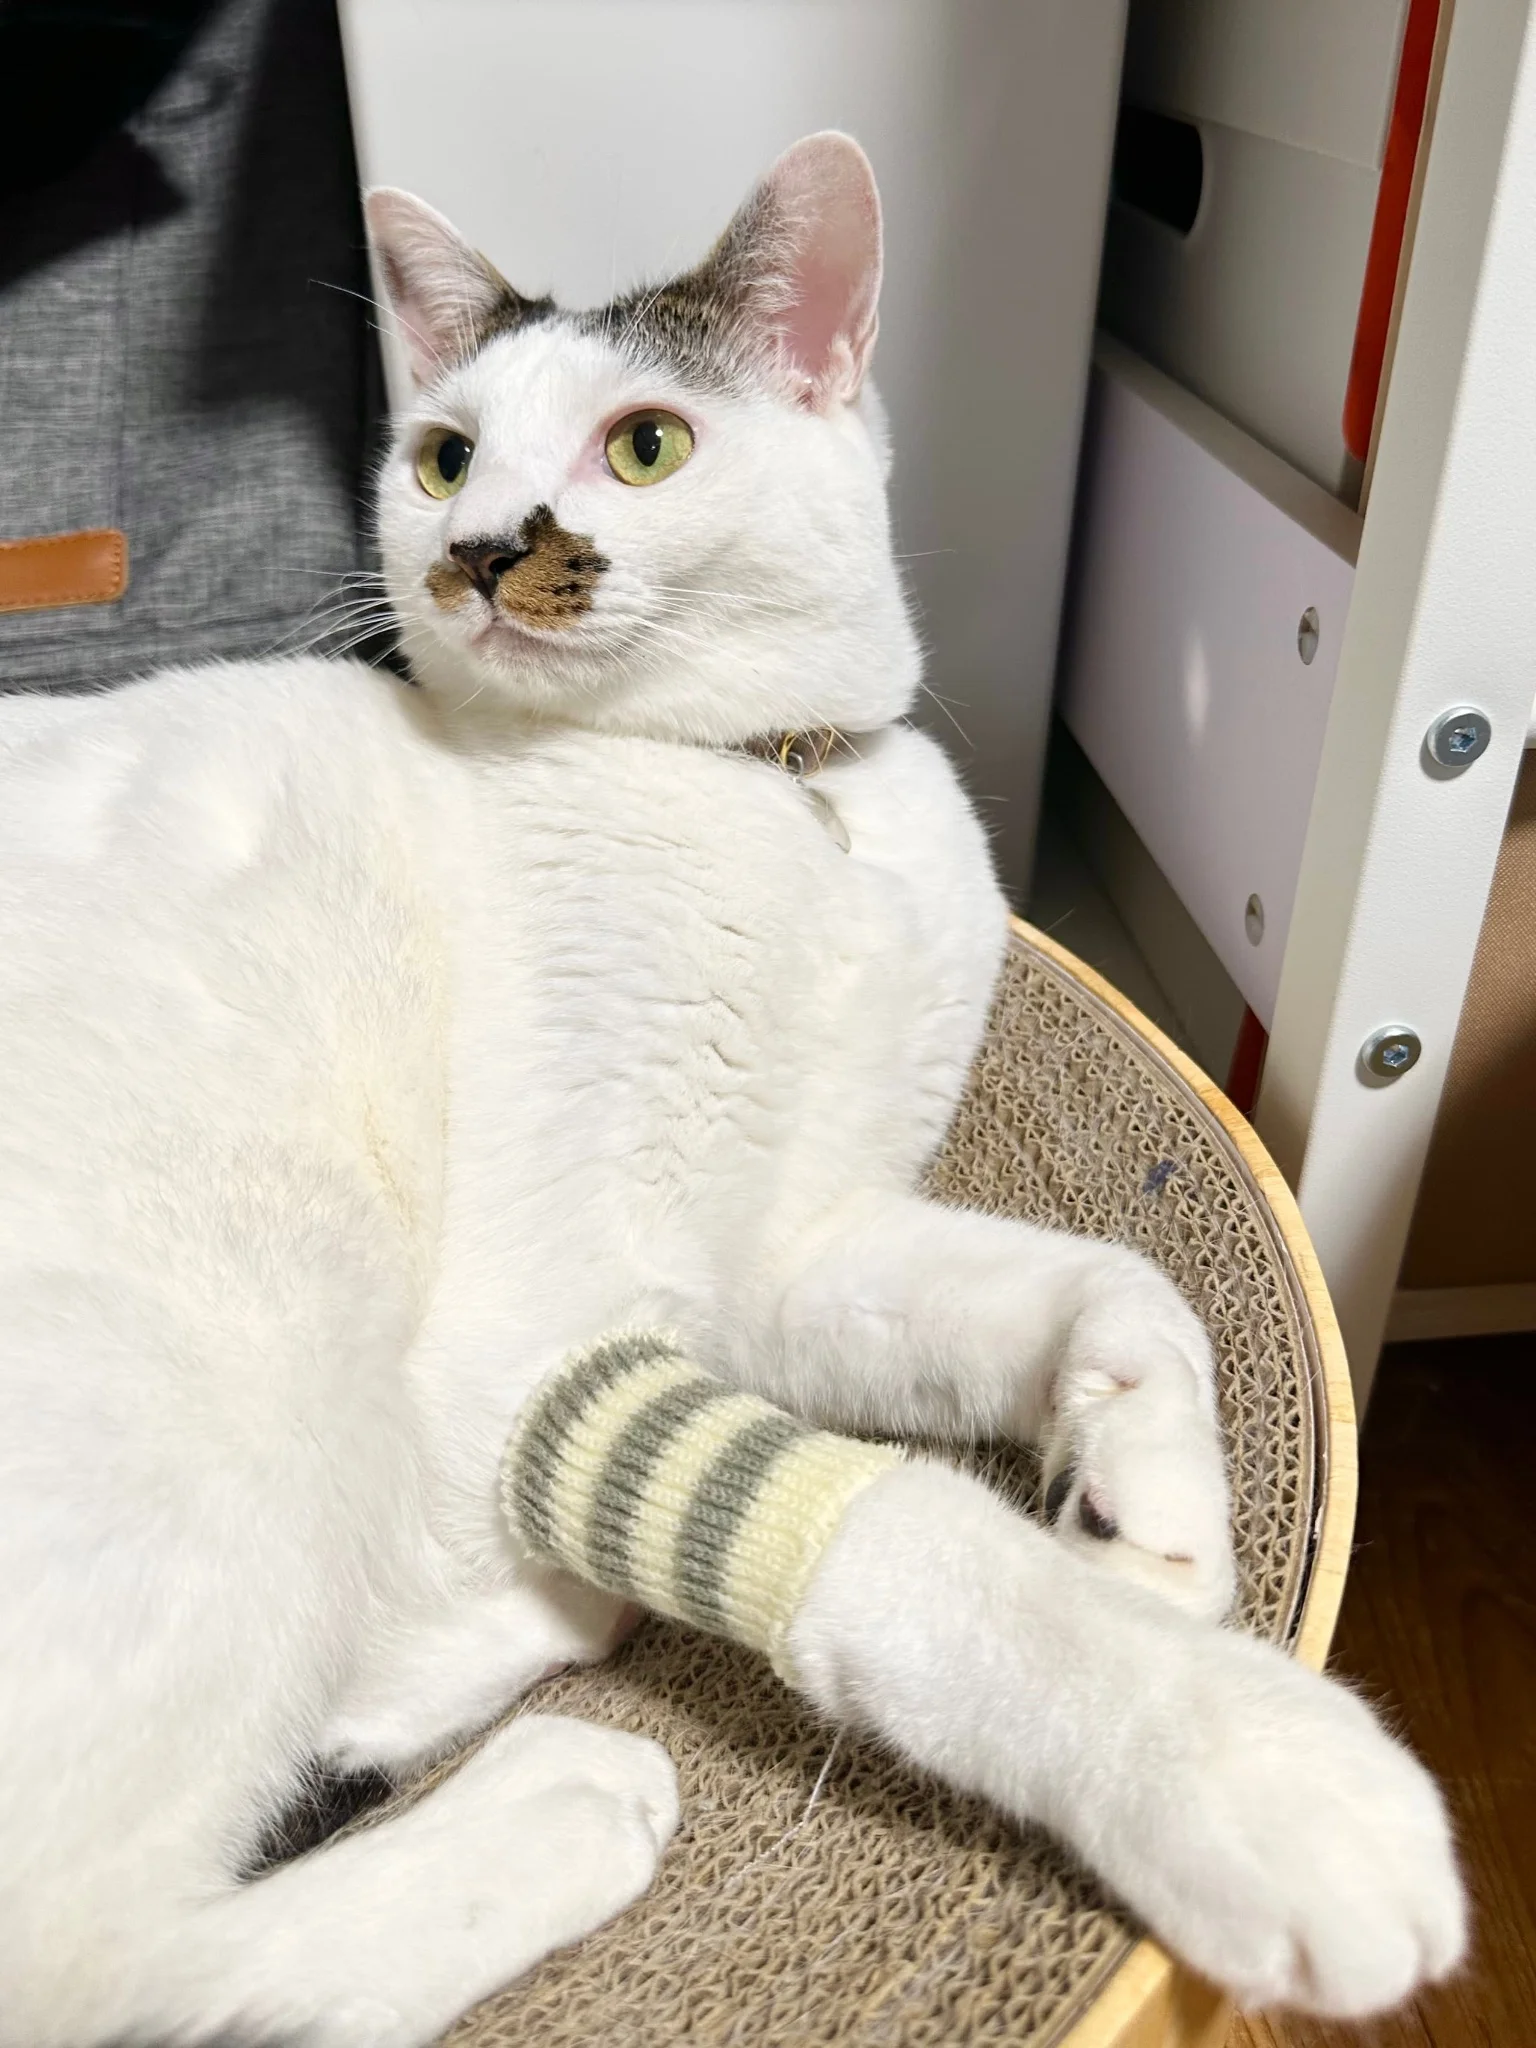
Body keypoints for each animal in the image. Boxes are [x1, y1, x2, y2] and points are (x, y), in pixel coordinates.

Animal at [0, 134, 1462, 2046]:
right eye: (447, 454)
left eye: (643, 446)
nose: (477, 550)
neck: (771, 785)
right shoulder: (542, 1345)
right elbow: (902, 1530)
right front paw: (1237, 1758)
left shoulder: (795, 1253)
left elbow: (1116, 1280)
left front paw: (1148, 1499)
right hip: (238, 1349)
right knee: (113, 1959)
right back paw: (552, 1787)